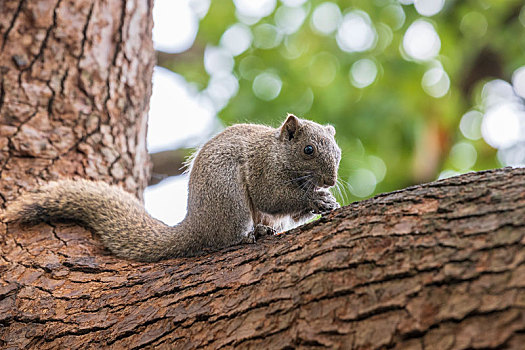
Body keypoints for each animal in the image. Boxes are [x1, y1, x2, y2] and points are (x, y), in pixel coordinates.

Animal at [2, 113, 340, 262]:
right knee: (225, 238)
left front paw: (327, 201)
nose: (331, 181)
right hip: (229, 200)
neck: (278, 152)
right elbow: (272, 197)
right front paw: (315, 198)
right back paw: (251, 234)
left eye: (337, 152)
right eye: (308, 150)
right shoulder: (262, 169)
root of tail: (195, 224)